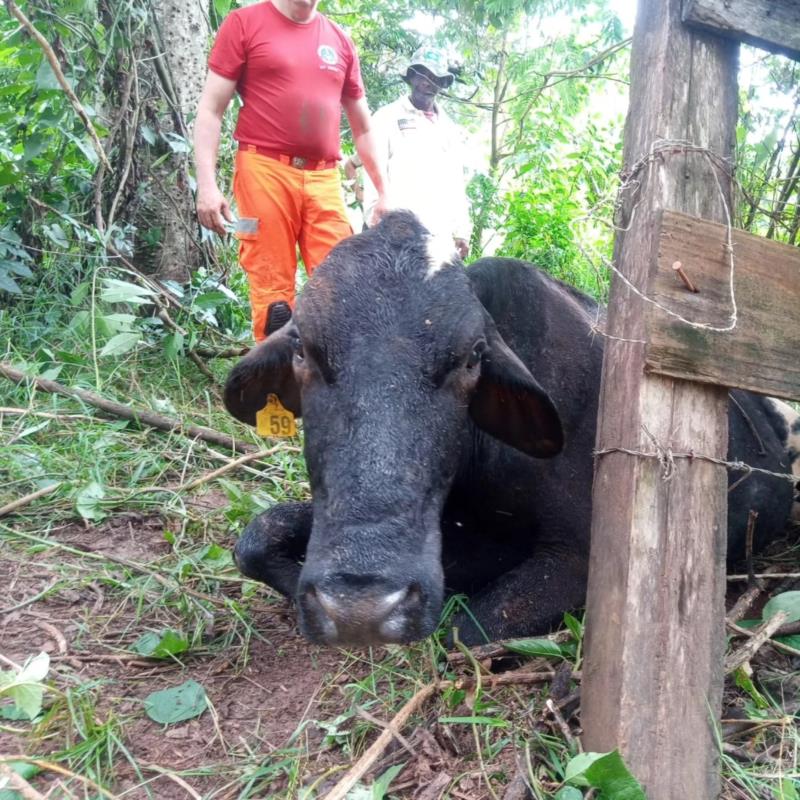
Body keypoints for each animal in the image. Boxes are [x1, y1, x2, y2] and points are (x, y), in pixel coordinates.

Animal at [225, 211, 800, 644]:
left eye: (471, 358)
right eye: (303, 349)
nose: (360, 609)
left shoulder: (576, 558)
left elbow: (462, 629)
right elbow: (258, 536)